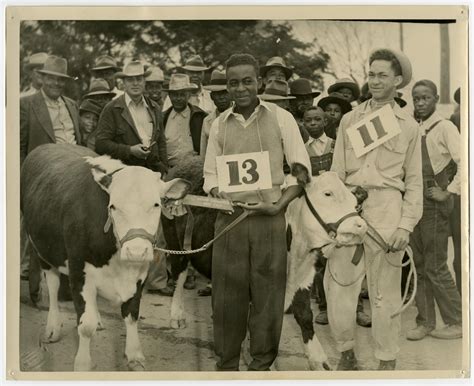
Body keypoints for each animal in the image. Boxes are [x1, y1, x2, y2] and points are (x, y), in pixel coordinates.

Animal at [19, 144, 191, 370]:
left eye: (156, 205)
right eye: (113, 206)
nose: (136, 250)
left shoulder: (139, 273)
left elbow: (131, 313)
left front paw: (134, 355)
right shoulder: (78, 272)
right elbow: (85, 326)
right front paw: (82, 364)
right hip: (42, 250)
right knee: (54, 286)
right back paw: (53, 328)